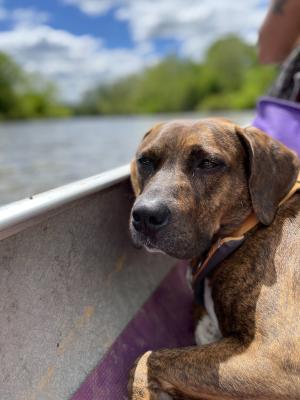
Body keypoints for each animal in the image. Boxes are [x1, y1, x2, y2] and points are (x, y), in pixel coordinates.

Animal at [128, 119, 300, 400]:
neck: (239, 236)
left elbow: (144, 361)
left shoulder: (277, 360)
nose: (145, 215)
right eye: (145, 161)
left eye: (208, 163)